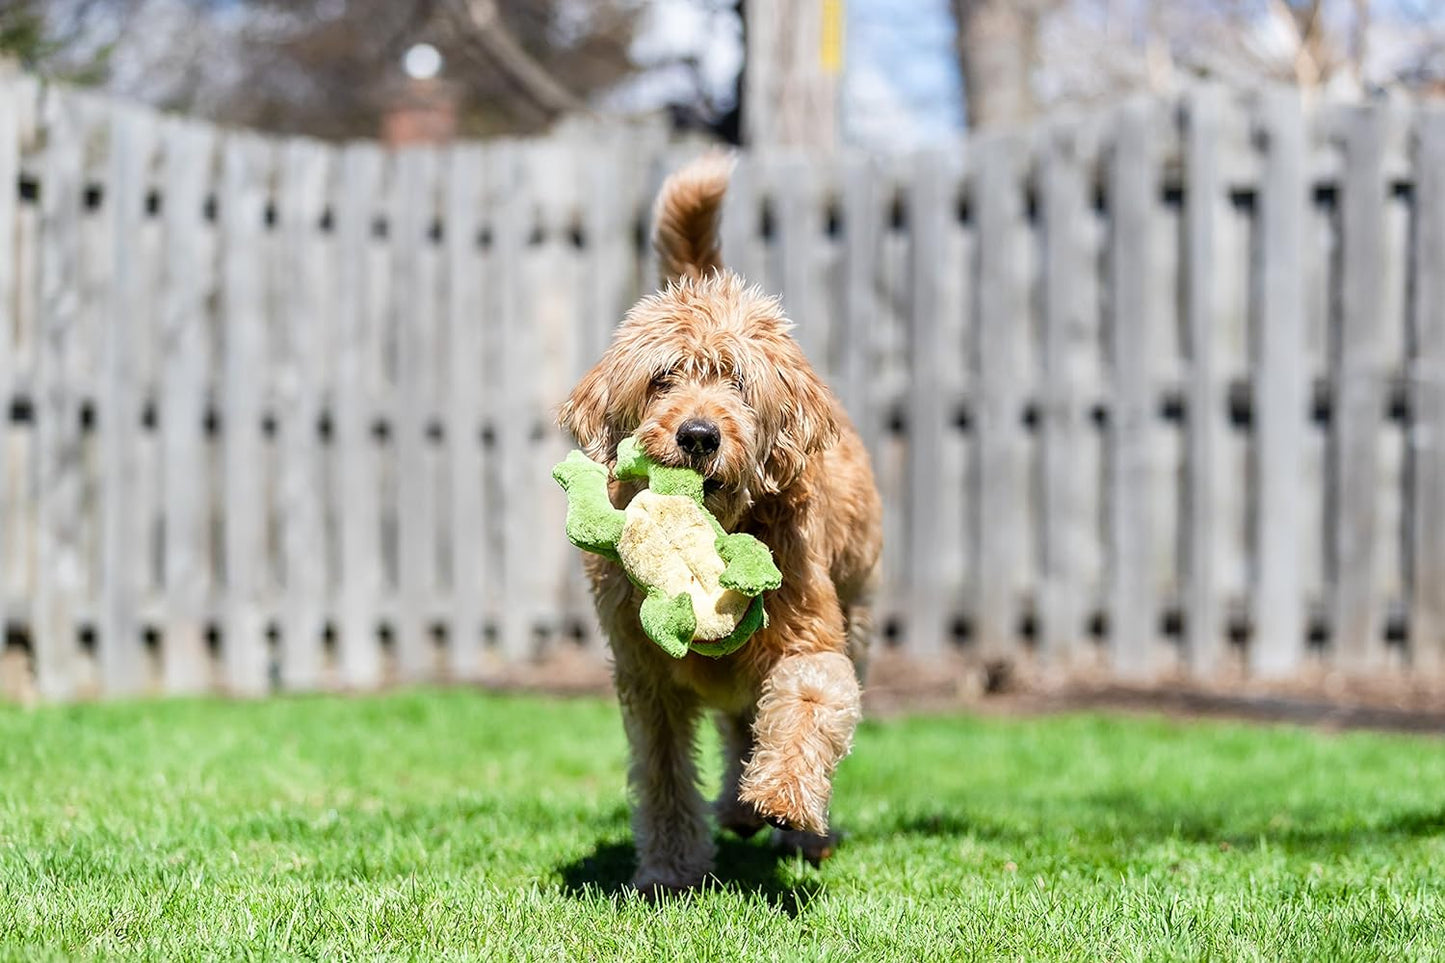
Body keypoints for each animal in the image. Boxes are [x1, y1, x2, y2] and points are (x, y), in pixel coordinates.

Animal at [557, 151, 884, 890]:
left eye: (736, 381)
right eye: (663, 378)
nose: (699, 434)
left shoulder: (808, 632)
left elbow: (808, 703)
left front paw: (786, 799)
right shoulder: (645, 677)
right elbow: (664, 774)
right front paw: (670, 870)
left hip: (854, 612)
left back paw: (794, 826)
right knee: (736, 726)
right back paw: (735, 809)